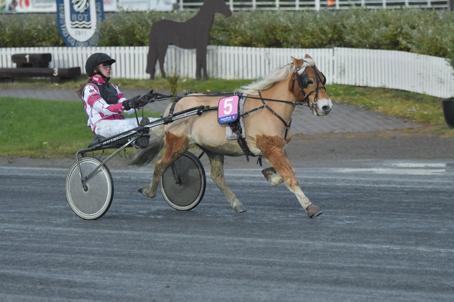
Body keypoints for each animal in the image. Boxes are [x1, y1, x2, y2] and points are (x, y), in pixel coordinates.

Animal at [136, 54, 334, 218]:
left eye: (323, 78)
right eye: (308, 81)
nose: (326, 106)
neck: (268, 107)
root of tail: (175, 104)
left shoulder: (277, 147)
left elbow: (286, 170)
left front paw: (270, 174)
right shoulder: (270, 147)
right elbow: (289, 175)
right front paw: (310, 207)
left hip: (214, 148)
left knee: (217, 177)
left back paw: (237, 204)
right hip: (177, 142)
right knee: (161, 165)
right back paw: (151, 191)